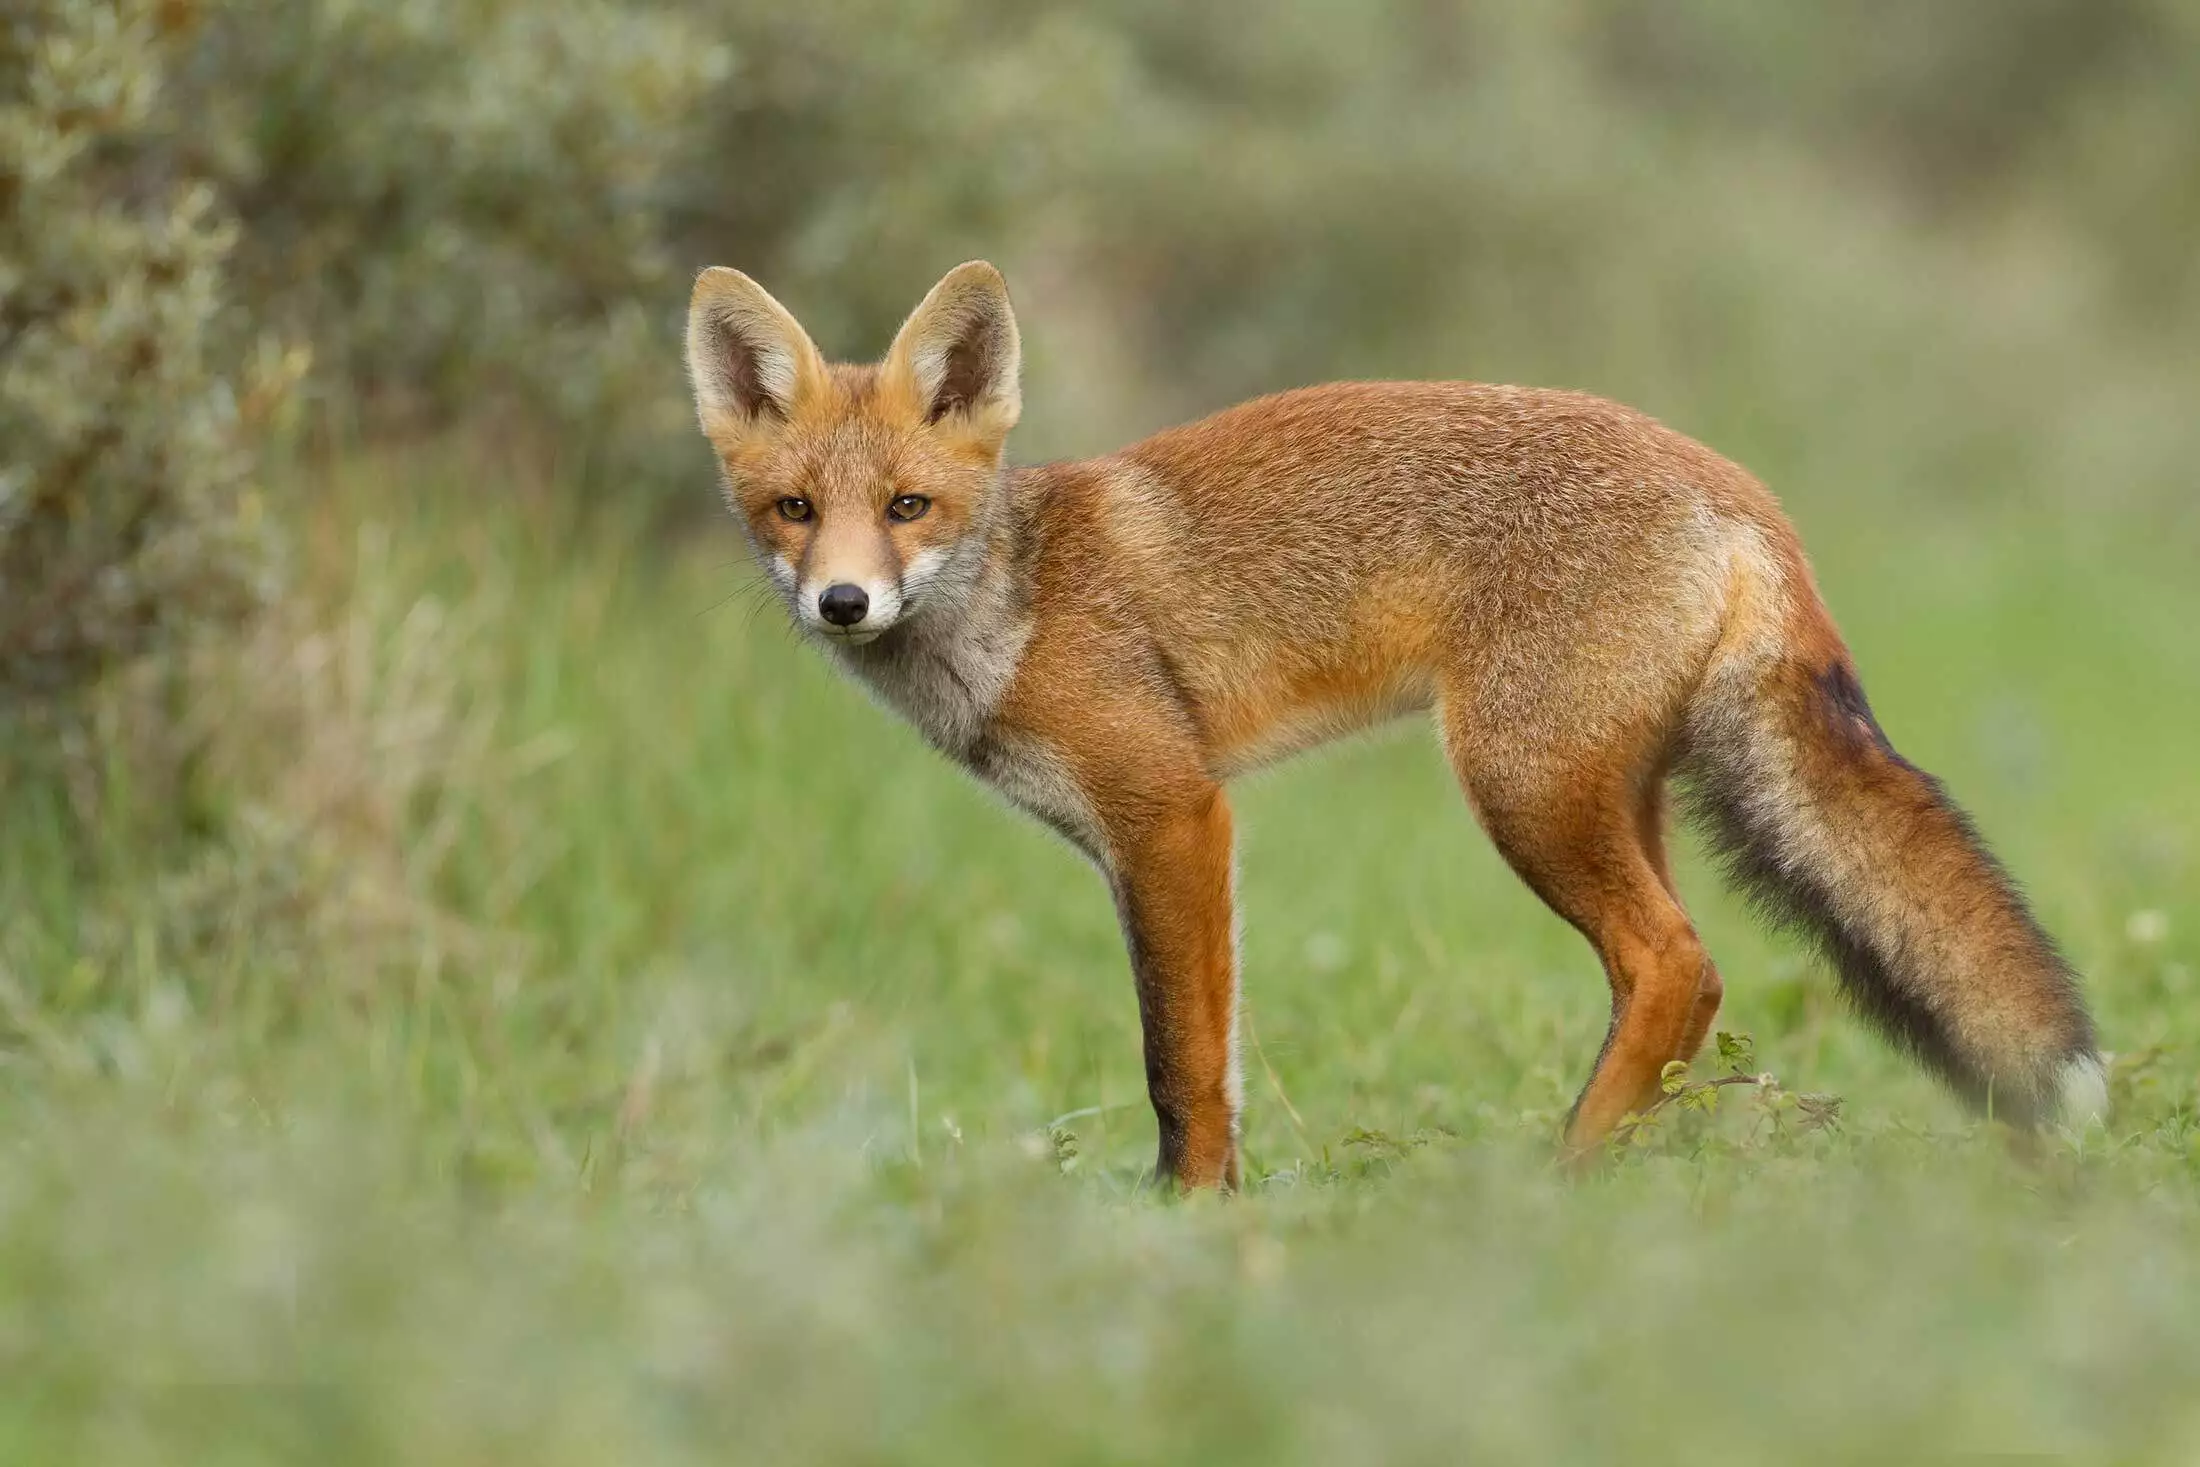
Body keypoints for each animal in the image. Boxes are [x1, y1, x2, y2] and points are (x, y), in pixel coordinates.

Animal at [684, 259, 2107, 1189]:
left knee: (1678, 964)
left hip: (1519, 788)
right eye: (794, 512)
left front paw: (1188, 1219)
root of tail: (1741, 491)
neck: (1018, 602)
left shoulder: (1173, 815)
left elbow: (1178, 1061)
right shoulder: (1153, 845)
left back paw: (1559, 1177)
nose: (844, 601)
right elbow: (1211, 1051)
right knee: (1671, 984)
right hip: (1606, 792)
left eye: (909, 507)